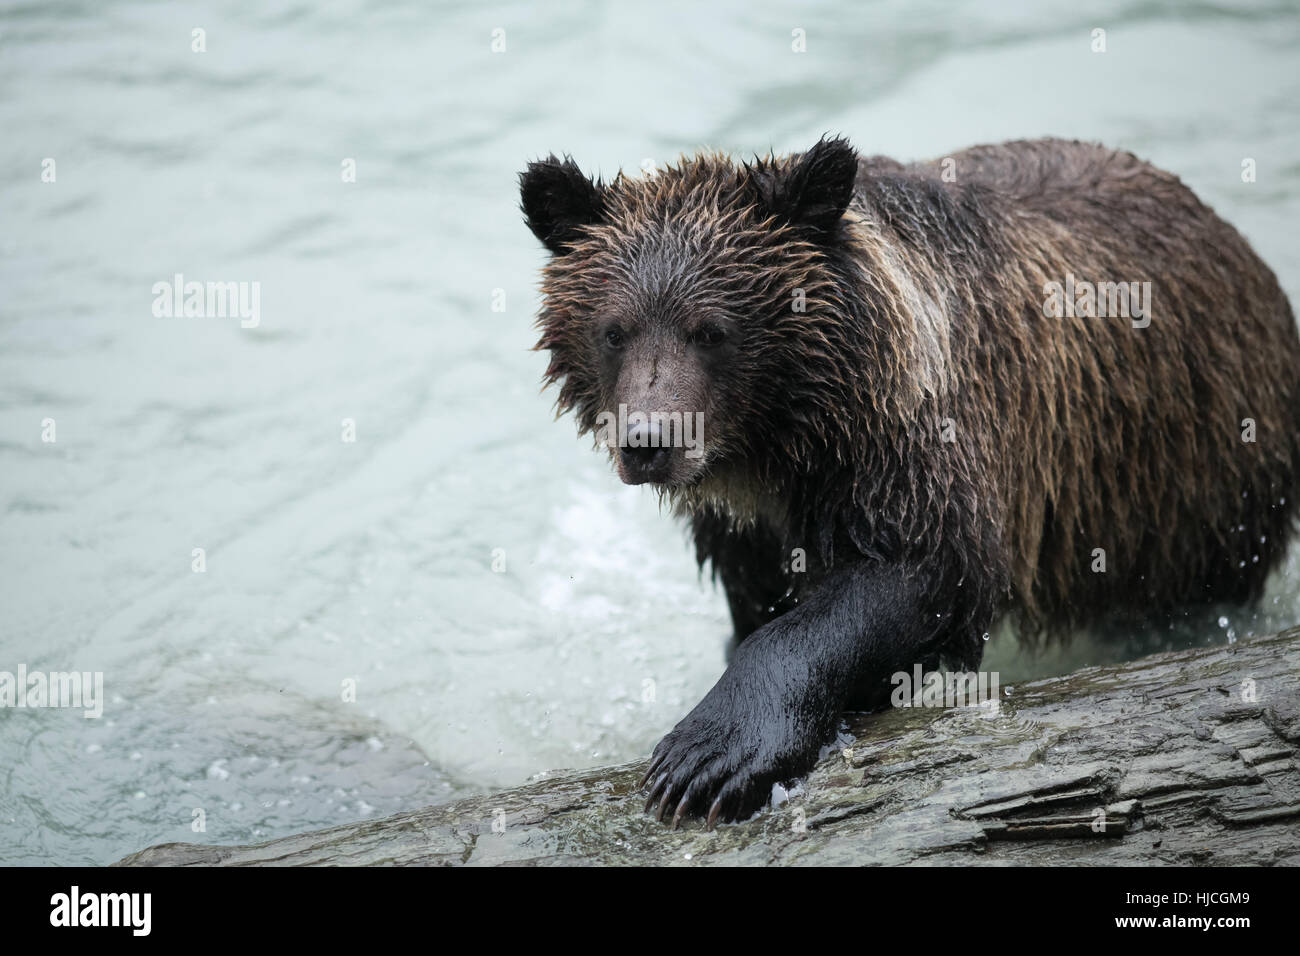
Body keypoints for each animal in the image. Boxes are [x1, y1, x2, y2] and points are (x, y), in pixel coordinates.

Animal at [517, 136, 1300, 832]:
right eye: (614, 330)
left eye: (710, 329)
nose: (649, 442)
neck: (780, 443)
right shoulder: (746, 528)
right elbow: (766, 596)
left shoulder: (911, 442)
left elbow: (920, 570)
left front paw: (709, 757)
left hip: (1187, 479)